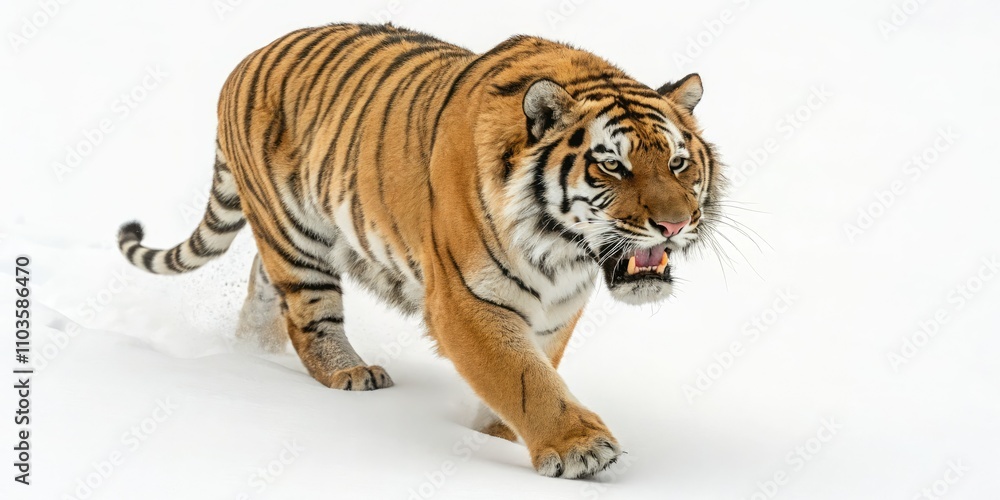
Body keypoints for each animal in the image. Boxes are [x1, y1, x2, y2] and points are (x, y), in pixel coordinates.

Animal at [117, 23, 723, 479]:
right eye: (612, 165)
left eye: (677, 163)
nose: (674, 224)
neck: (560, 251)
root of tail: (246, 59)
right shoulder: (464, 301)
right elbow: (521, 376)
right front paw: (579, 447)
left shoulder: (557, 309)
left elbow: (537, 366)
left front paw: (499, 435)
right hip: (294, 235)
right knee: (309, 317)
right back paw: (350, 373)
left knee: (263, 291)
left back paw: (249, 355)